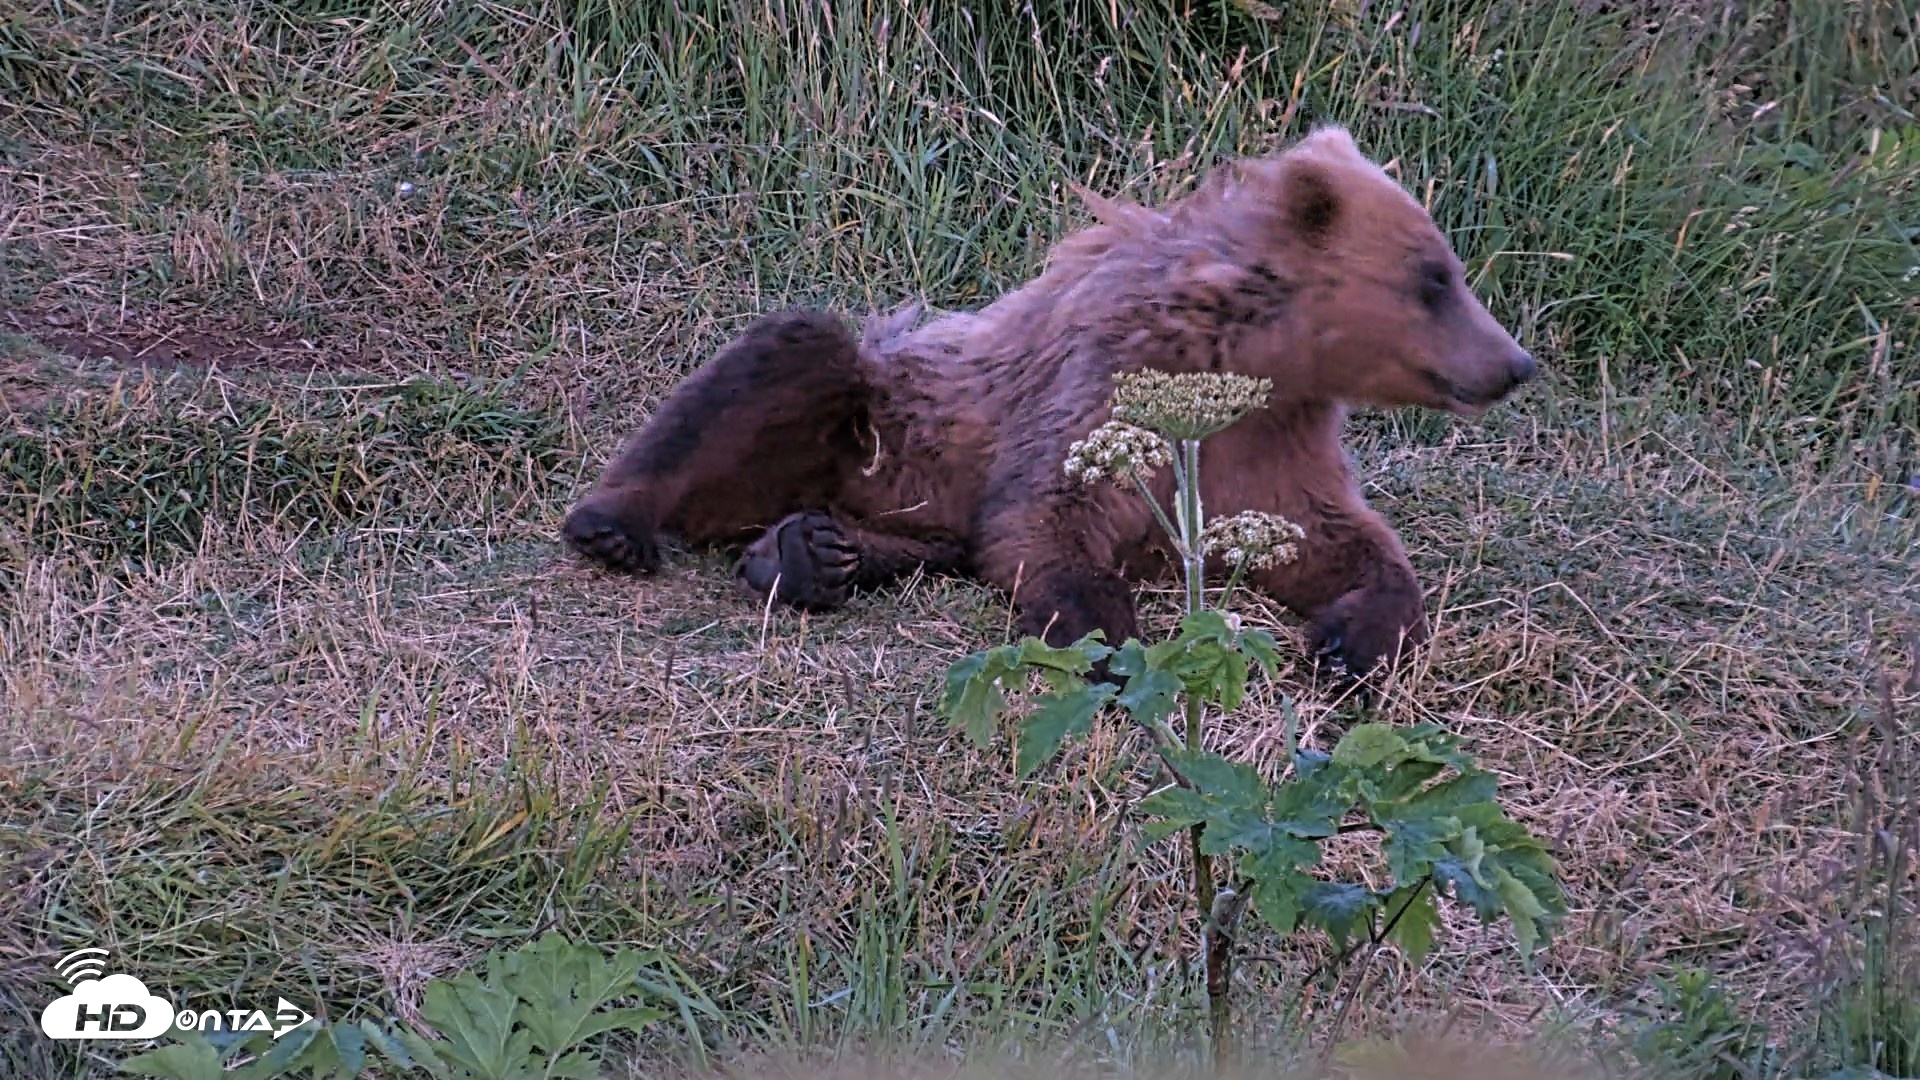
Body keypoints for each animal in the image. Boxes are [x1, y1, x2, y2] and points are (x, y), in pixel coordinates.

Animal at [560, 125, 1538, 678]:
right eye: (1435, 278)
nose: (1515, 363)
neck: (1250, 355)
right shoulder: (1106, 387)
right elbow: (1048, 516)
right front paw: (1110, 638)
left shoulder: (1272, 440)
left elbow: (1335, 539)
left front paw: (1351, 639)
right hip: (884, 414)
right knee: (788, 357)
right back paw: (619, 523)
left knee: (929, 539)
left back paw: (808, 556)